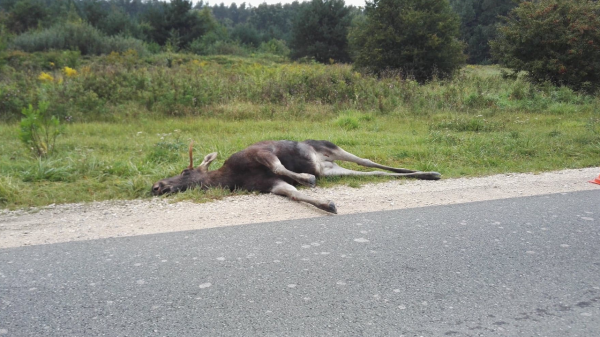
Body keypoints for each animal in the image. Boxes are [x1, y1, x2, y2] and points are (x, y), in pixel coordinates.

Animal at [151, 139, 440, 213]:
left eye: (185, 171)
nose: (156, 186)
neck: (231, 177)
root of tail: (326, 162)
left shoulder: (262, 152)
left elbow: (282, 169)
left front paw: (305, 178)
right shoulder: (269, 185)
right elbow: (293, 194)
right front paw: (327, 204)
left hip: (332, 146)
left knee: (368, 161)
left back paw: (429, 171)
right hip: (333, 170)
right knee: (365, 172)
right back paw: (424, 174)